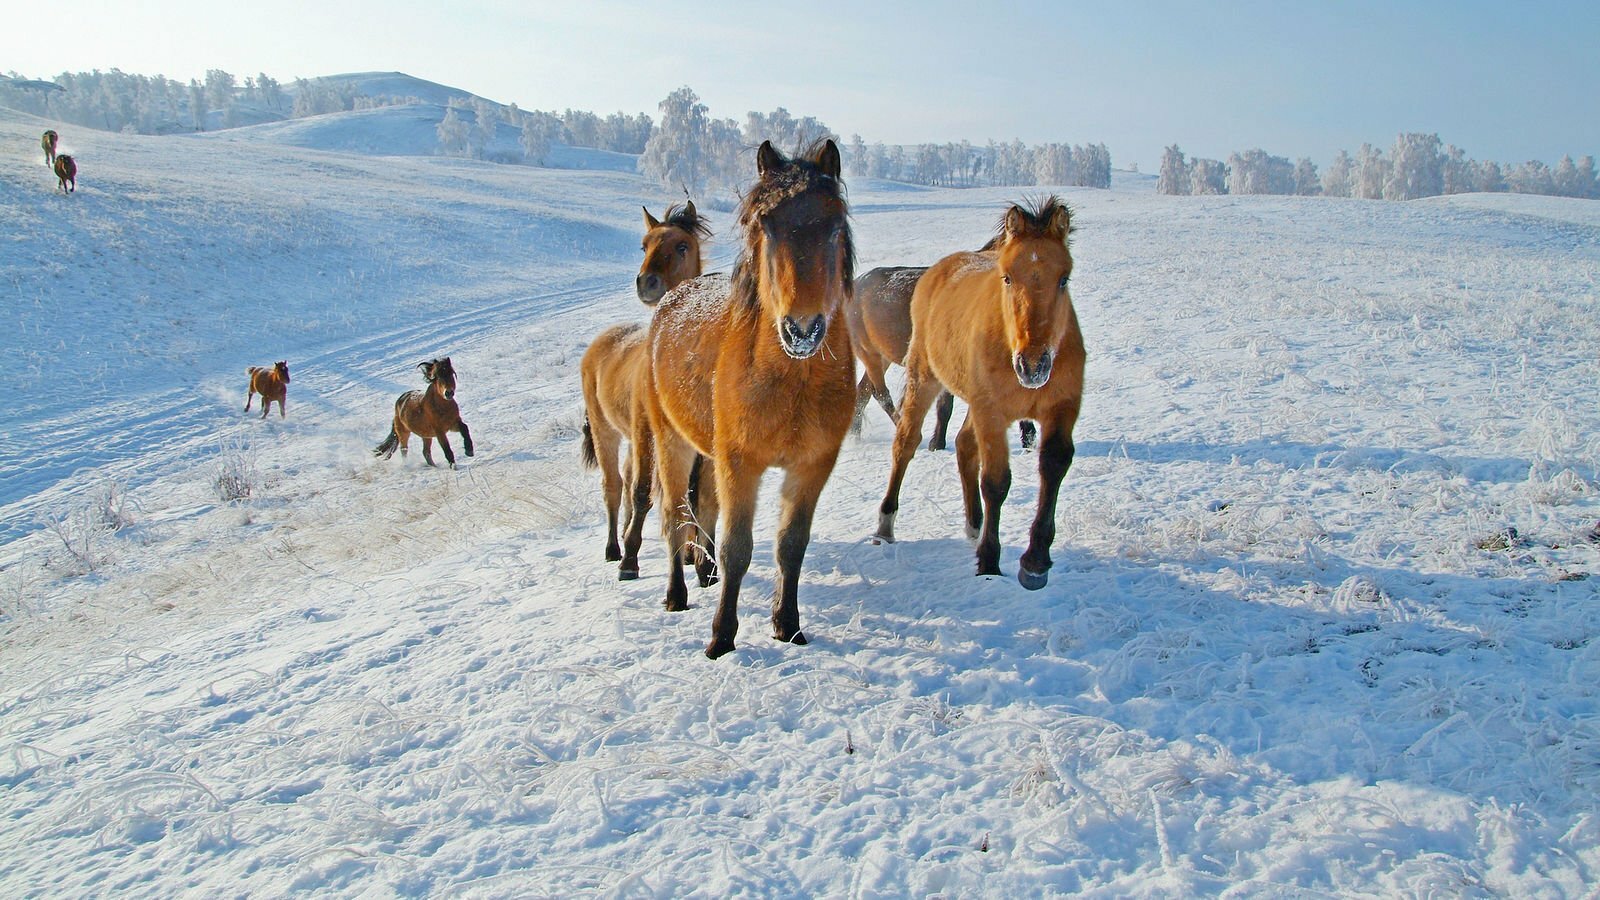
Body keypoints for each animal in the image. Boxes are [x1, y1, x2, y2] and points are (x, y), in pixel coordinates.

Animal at [579, 199, 710, 573]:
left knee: (624, 483)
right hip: (606, 431)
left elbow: (694, 496)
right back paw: (615, 547)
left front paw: (697, 559)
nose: (647, 283)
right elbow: (642, 492)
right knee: (614, 486)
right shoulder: (646, 431)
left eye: (682, 246)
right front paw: (630, 558)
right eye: (644, 245)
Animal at [643, 140, 857, 659]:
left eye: (835, 222)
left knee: (699, 510)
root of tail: (674, 297)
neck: (792, 379)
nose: (802, 329)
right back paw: (676, 593)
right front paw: (721, 637)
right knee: (674, 516)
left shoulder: (813, 465)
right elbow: (736, 548)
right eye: (766, 224)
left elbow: (790, 545)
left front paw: (788, 624)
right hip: (671, 444)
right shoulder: (740, 463)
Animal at [844, 264, 1043, 448]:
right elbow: (946, 405)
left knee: (864, 391)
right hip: (868, 352)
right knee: (880, 393)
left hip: (881, 356)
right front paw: (937, 443)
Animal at [876, 195, 1088, 589]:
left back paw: (974, 525)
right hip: (926, 379)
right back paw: (885, 525)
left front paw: (1035, 562)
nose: (1033, 365)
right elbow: (995, 482)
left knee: (963, 446)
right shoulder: (993, 412)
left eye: (1064, 278)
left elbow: (1053, 465)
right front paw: (989, 561)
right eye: (1007, 277)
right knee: (906, 443)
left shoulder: (1062, 408)